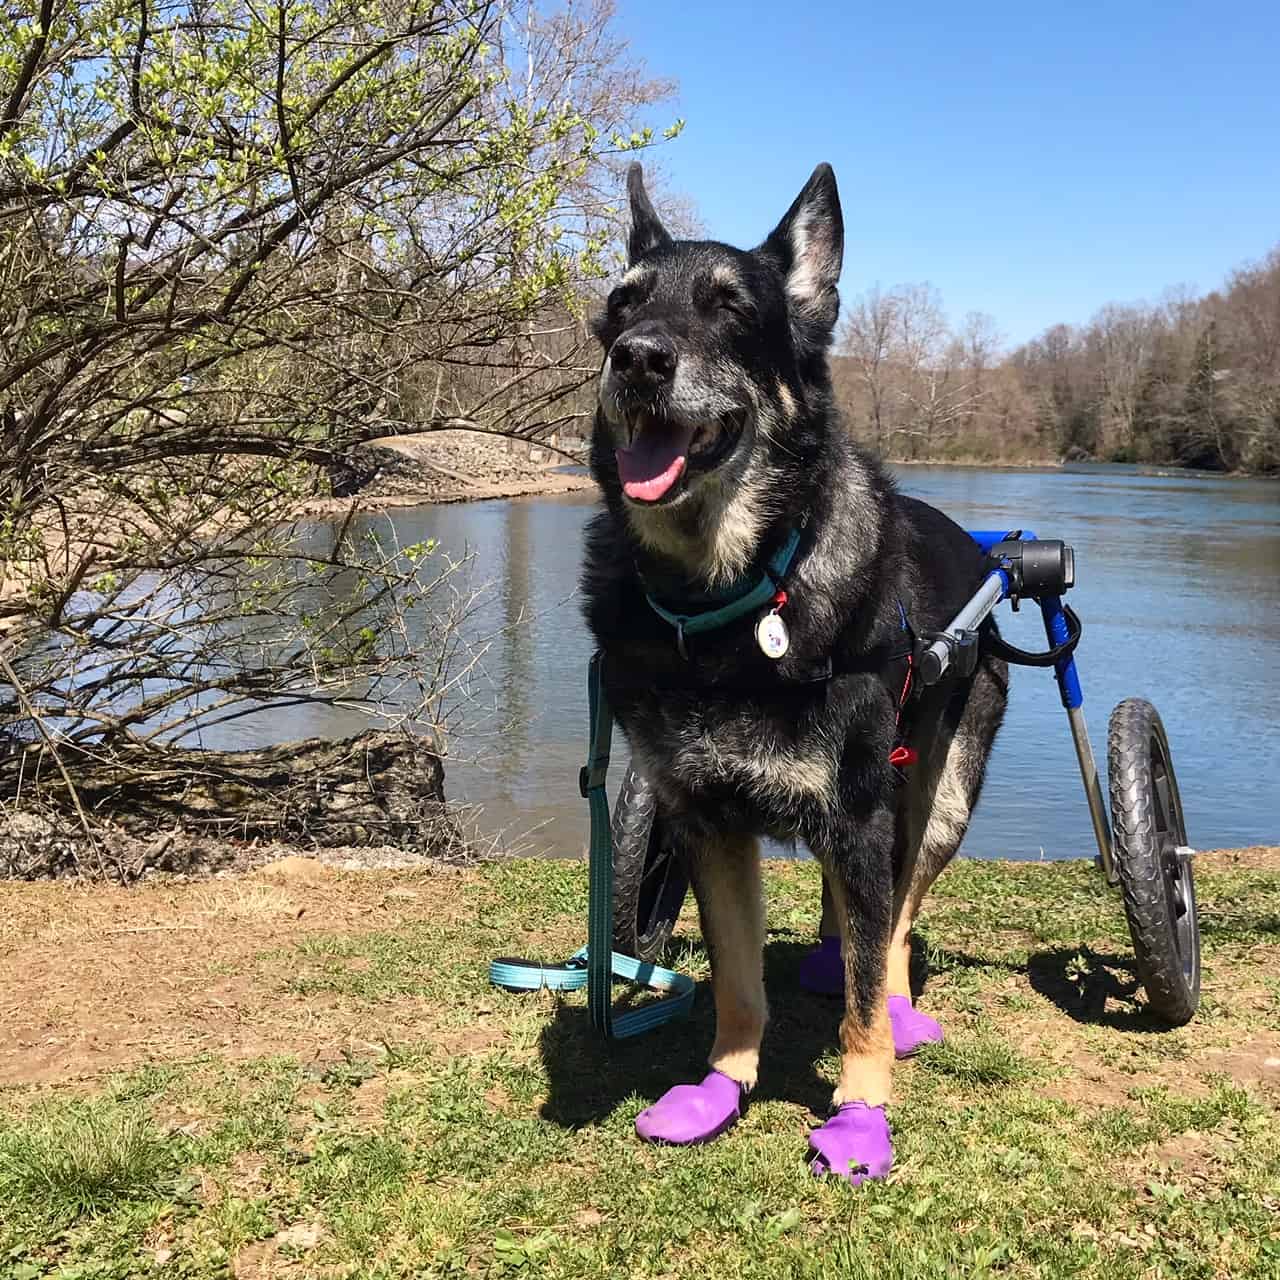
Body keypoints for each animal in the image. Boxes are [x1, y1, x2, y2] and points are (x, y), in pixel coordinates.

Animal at [581, 160, 1008, 1177]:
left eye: (732, 307)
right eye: (622, 303)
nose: (639, 359)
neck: (726, 601)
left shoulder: (857, 816)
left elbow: (863, 987)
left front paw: (860, 1111)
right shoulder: (706, 820)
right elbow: (738, 979)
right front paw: (722, 1085)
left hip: (938, 800)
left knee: (894, 925)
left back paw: (900, 1010)